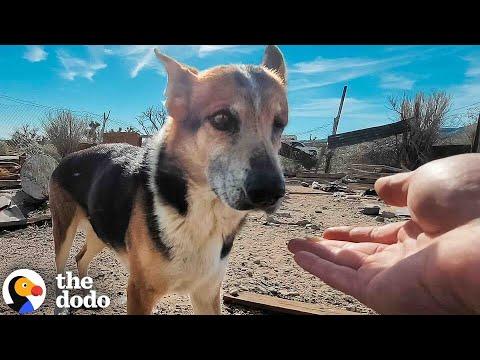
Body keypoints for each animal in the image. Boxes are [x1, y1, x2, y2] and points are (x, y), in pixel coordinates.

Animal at [48, 45, 288, 316]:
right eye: (221, 118)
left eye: (280, 123)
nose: (271, 191)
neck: (203, 213)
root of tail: (67, 157)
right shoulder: (139, 292)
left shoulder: (207, 292)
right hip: (64, 232)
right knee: (61, 267)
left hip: (102, 230)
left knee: (81, 258)